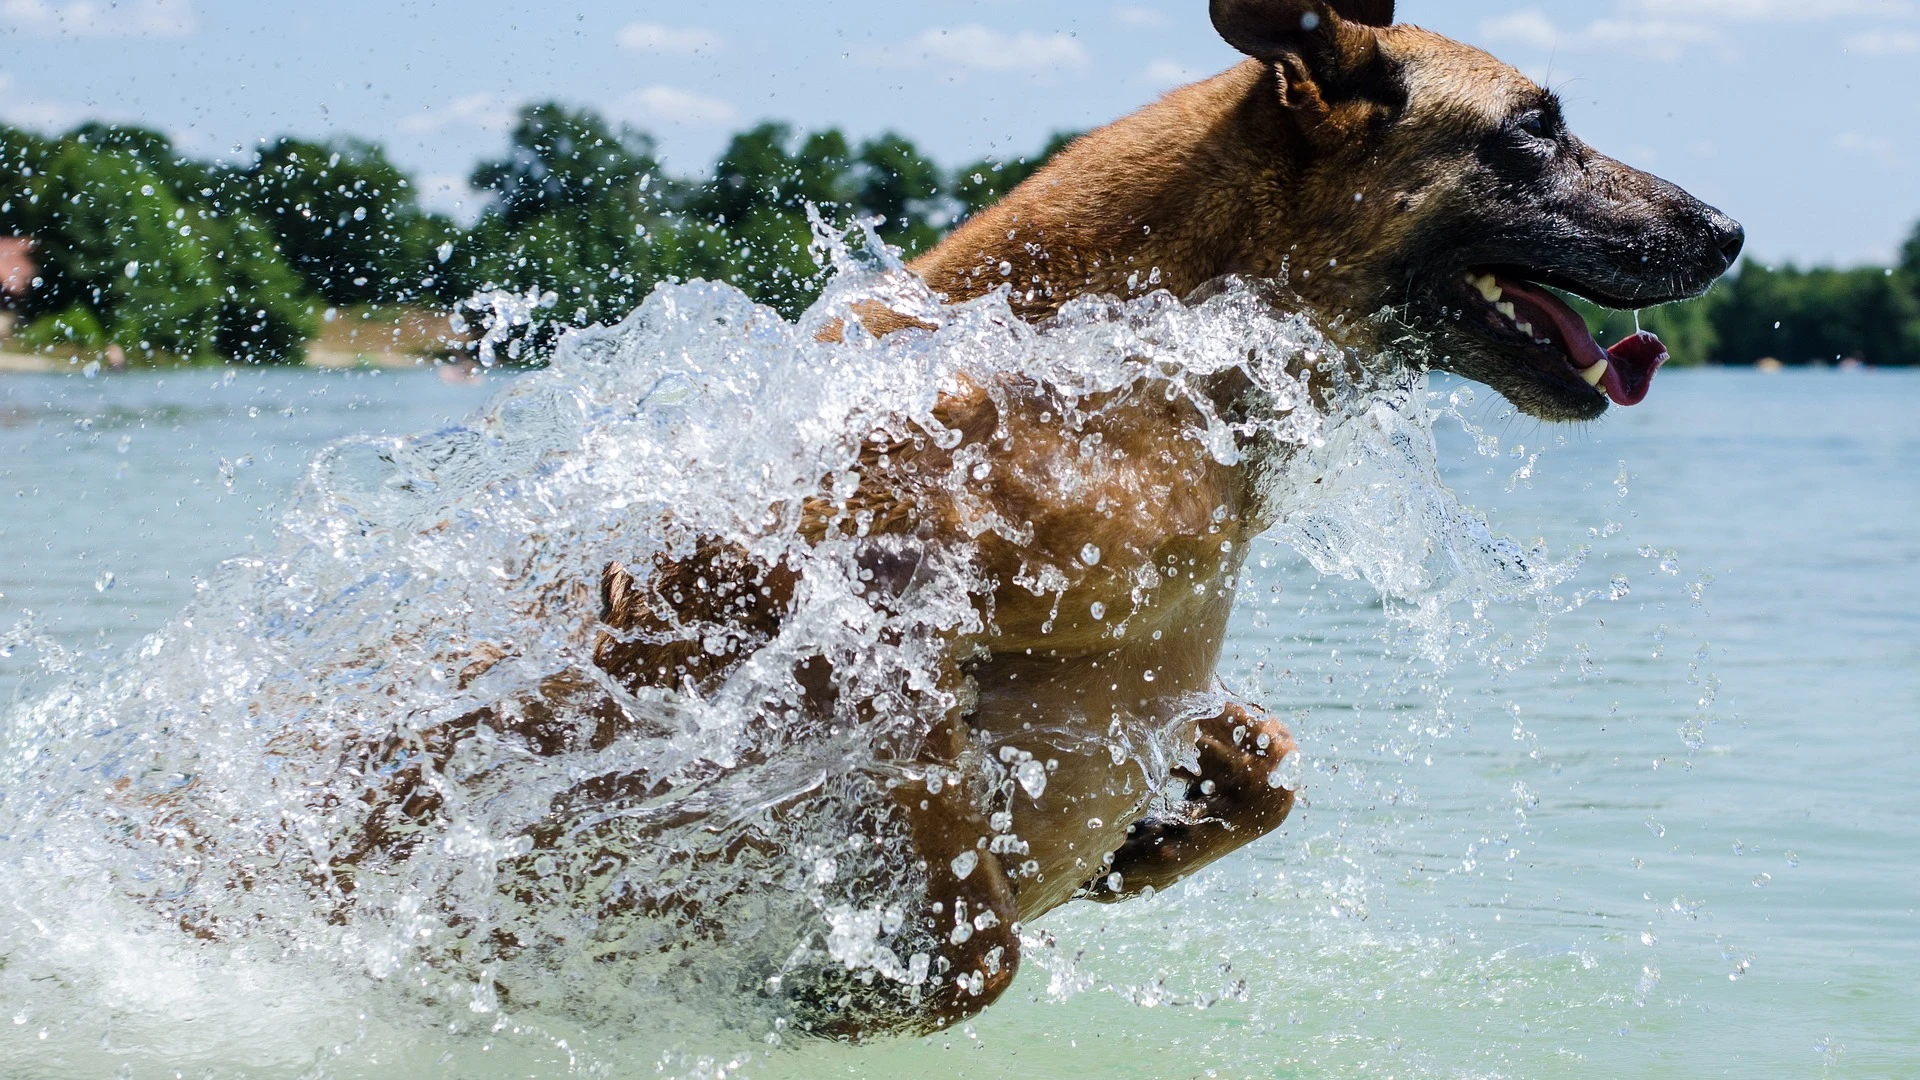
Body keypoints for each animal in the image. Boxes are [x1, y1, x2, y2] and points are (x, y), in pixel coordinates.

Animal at [345, 0, 1743, 1037]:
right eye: (1536, 128)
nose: (1732, 229)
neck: (1138, 360)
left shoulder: (1138, 674)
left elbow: (1272, 766)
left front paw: (1150, 847)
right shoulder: (848, 623)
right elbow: (977, 934)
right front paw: (844, 989)